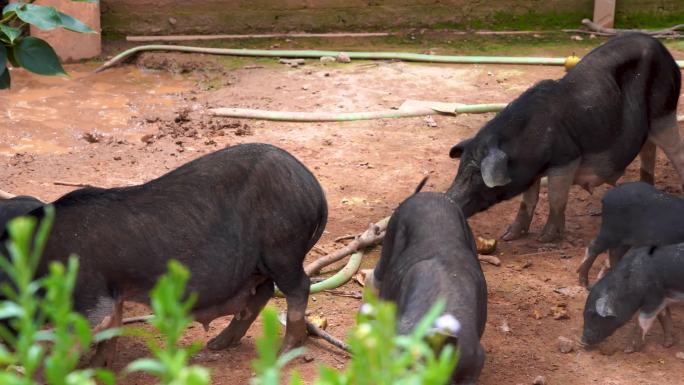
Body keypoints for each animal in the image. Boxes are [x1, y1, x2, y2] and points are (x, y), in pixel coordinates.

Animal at [0, 143, 326, 366]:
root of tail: (314, 188)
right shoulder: (113, 290)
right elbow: (111, 327)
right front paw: (98, 368)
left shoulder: (89, 294)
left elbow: (83, 331)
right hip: (261, 263)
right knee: (263, 292)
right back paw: (217, 344)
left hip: (283, 249)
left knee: (299, 287)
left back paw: (284, 353)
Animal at [446, 33, 680, 243]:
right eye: (459, 169)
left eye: (475, 175)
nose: (448, 199)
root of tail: (664, 50)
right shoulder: (531, 172)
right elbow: (528, 201)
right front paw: (508, 236)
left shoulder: (567, 158)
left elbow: (556, 198)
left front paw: (545, 239)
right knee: (648, 151)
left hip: (664, 111)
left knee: (676, 152)